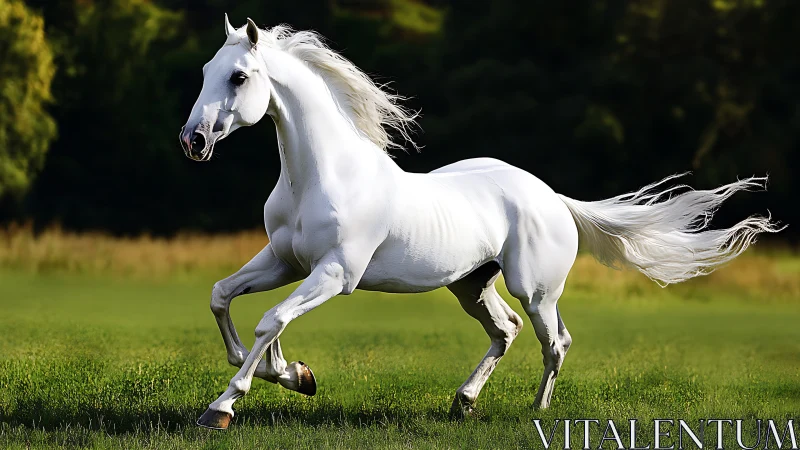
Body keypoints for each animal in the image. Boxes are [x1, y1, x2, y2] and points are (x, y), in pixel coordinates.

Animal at [179, 16, 782, 430]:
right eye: (205, 71)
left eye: (239, 77)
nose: (194, 141)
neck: (323, 175)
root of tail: (553, 197)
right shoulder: (286, 262)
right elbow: (224, 298)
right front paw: (292, 374)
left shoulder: (335, 274)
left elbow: (271, 320)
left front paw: (224, 406)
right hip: (472, 285)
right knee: (507, 330)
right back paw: (463, 402)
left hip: (534, 288)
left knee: (554, 340)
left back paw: (536, 412)